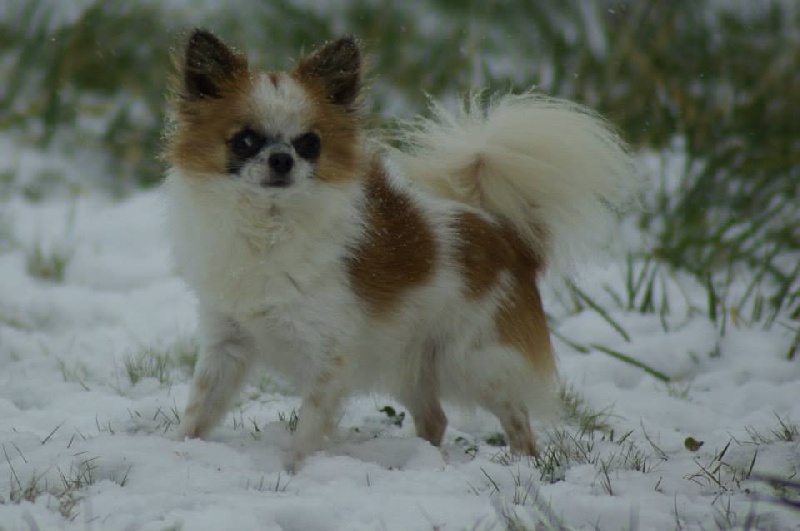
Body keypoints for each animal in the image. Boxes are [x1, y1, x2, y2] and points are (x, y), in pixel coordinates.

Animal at [163, 29, 638, 470]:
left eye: (309, 144)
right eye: (244, 140)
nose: (282, 160)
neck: (269, 228)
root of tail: (506, 236)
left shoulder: (329, 360)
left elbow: (309, 427)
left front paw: (294, 473)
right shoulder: (226, 344)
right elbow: (199, 409)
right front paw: (180, 452)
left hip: (473, 361)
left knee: (517, 418)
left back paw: (523, 463)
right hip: (408, 362)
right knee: (435, 419)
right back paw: (422, 462)